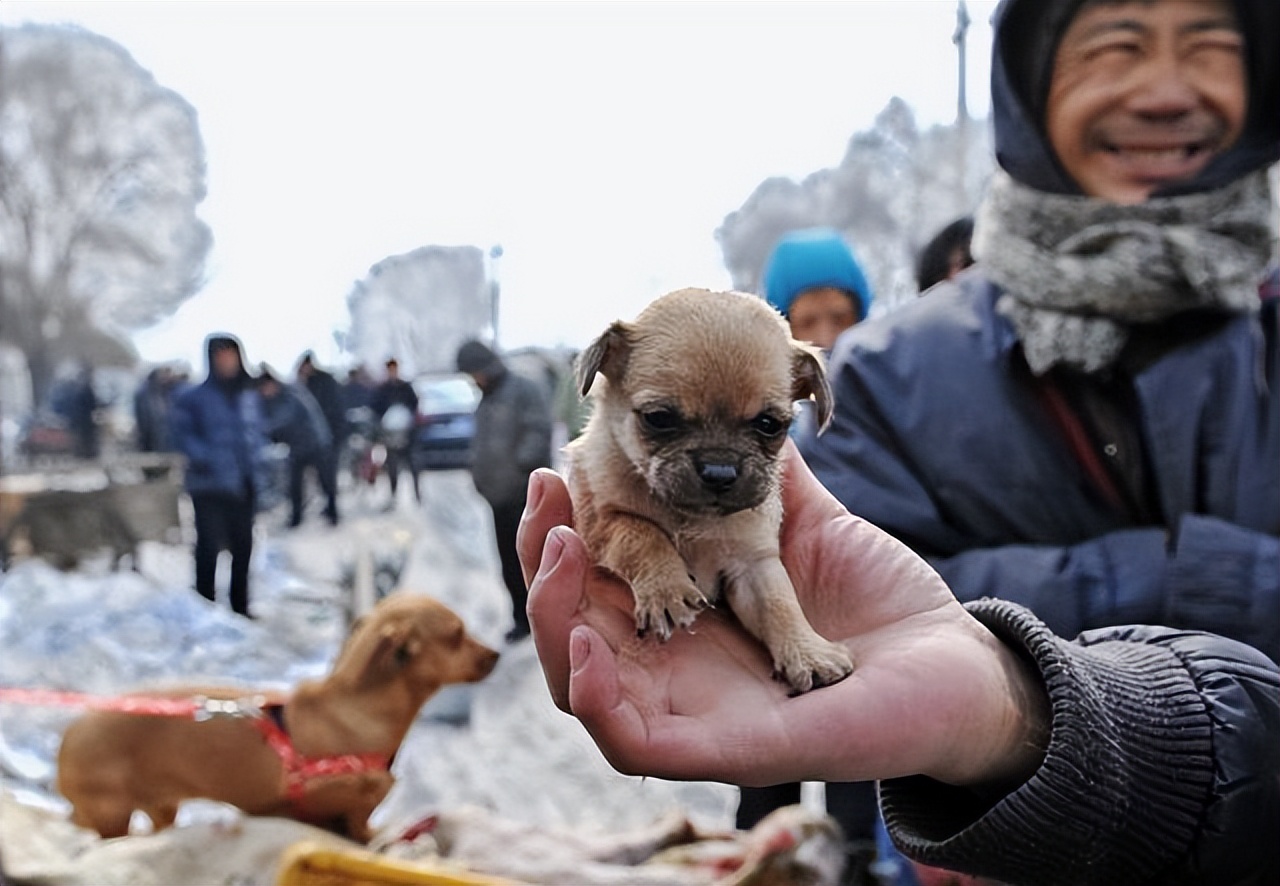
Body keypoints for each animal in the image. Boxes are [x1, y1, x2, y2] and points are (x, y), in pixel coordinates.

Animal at [58, 591, 499, 839]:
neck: (357, 709)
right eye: (456, 635)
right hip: (112, 815)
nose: (496, 654)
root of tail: (70, 736)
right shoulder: (339, 803)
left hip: (160, 807)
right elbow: (359, 824)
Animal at [568, 289, 849, 691]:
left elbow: (779, 602)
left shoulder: (752, 564)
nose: (720, 470)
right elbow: (642, 533)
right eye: (659, 419)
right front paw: (666, 588)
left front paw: (807, 651)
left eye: (769, 425)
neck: (691, 518)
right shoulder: (601, 521)